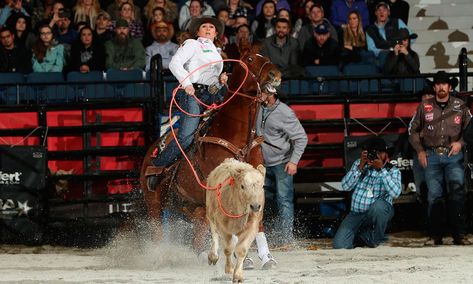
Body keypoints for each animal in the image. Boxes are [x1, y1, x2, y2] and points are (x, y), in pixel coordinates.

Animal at [139, 50, 280, 252]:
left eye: (267, 58)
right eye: (250, 59)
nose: (275, 75)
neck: (237, 139)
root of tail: (151, 150)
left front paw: (266, 257)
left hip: (192, 207)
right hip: (155, 203)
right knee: (158, 232)